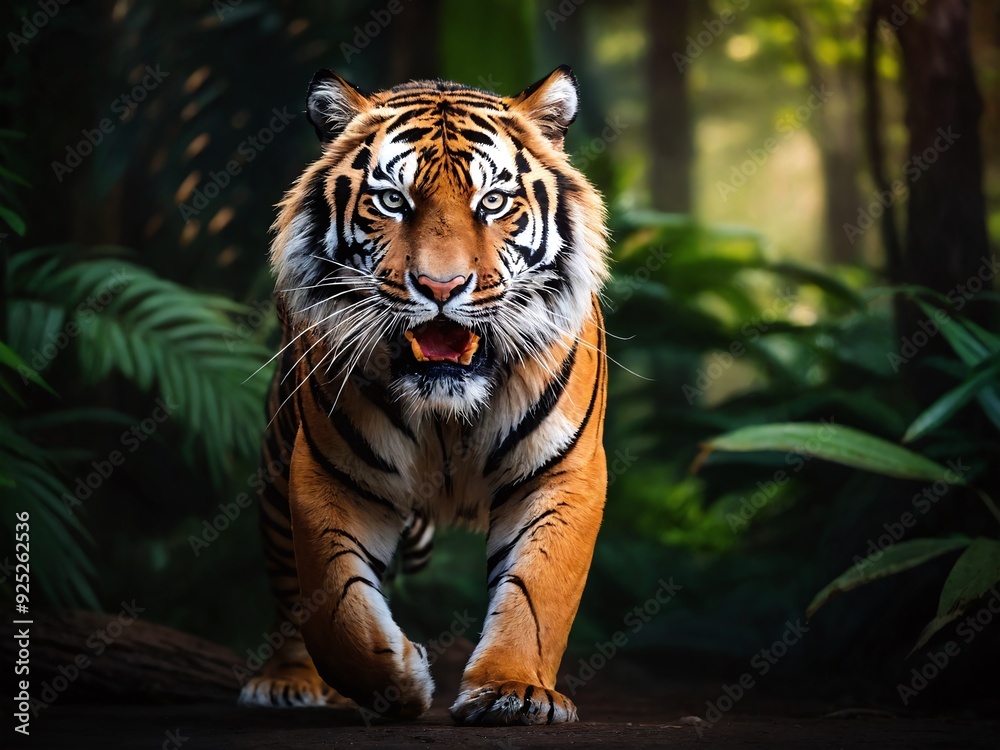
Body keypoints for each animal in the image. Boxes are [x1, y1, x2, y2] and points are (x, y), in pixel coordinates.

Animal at [238, 65, 610, 726]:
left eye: (493, 202)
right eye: (392, 200)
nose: (441, 287)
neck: (448, 412)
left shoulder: (564, 473)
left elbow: (537, 593)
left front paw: (513, 691)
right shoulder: (329, 474)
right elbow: (337, 609)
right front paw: (398, 679)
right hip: (276, 467)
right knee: (287, 587)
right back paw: (286, 682)